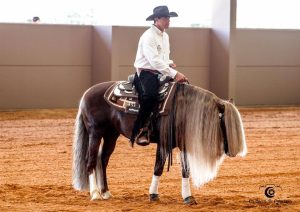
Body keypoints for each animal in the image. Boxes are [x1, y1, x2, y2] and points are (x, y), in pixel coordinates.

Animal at [71, 80, 247, 205]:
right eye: (224, 122)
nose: (232, 152)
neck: (181, 108)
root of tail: (87, 93)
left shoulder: (182, 144)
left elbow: (185, 171)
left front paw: (188, 197)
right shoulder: (163, 143)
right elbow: (158, 167)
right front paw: (153, 194)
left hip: (111, 135)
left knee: (103, 160)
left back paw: (106, 192)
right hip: (95, 132)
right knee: (91, 160)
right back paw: (95, 194)